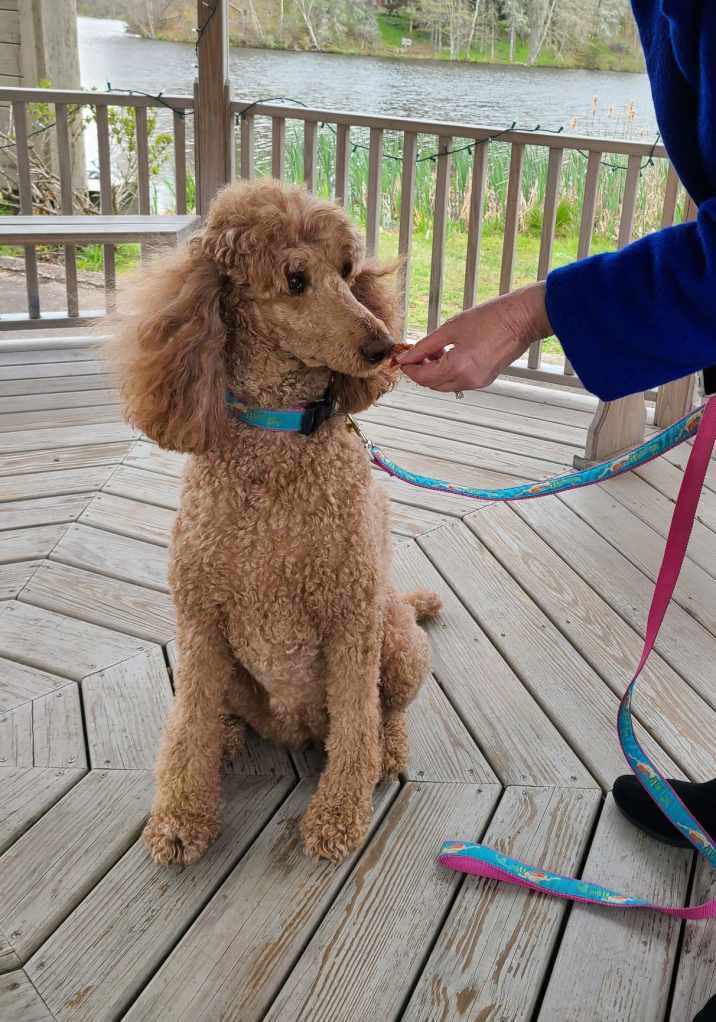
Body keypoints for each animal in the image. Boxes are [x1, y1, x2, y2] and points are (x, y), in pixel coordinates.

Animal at [106, 181, 441, 862]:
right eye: (294, 279)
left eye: (348, 271)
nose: (380, 347)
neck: (281, 436)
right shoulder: (200, 621)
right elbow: (187, 725)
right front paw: (179, 817)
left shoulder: (351, 618)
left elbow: (356, 726)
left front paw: (338, 815)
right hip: (241, 670)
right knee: (222, 713)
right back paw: (231, 735)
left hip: (394, 638)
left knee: (384, 712)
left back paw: (389, 751)